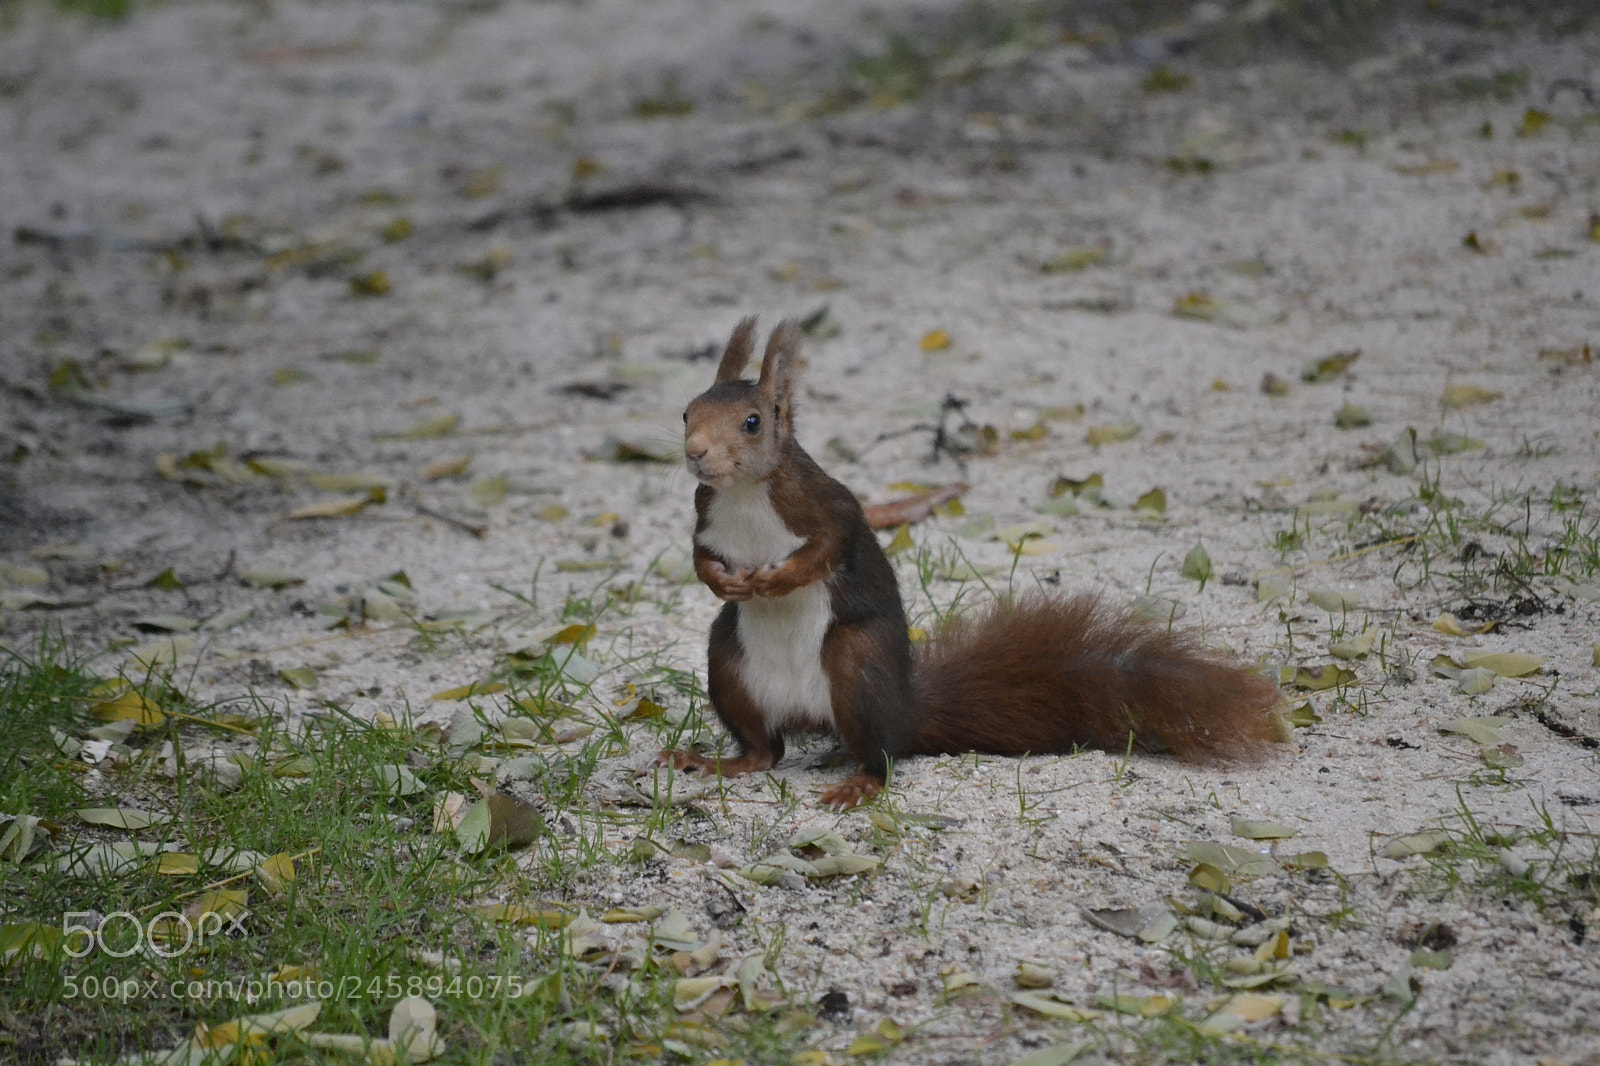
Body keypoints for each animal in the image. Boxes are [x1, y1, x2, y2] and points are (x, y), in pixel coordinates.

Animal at [659, 317, 1289, 809]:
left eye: (752, 422)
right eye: (685, 413)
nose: (695, 455)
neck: (744, 494)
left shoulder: (826, 507)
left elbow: (827, 549)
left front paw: (778, 578)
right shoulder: (706, 517)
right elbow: (699, 555)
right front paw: (722, 581)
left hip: (857, 665)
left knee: (880, 753)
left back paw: (860, 783)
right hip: (729, 667)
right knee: (765, 750)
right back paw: (718, 762)